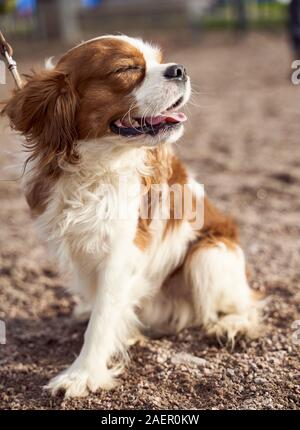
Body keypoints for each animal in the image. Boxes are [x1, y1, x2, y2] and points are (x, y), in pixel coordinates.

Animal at [2, 35, 260, 398]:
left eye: (160, 59)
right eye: (125, 69)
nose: (179, 69)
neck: (96, 168)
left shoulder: (121, 253)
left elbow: (102, 320)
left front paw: (81, 374)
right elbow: (102, 306)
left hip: (209, 255)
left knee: (245, 303)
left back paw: (231, 325)